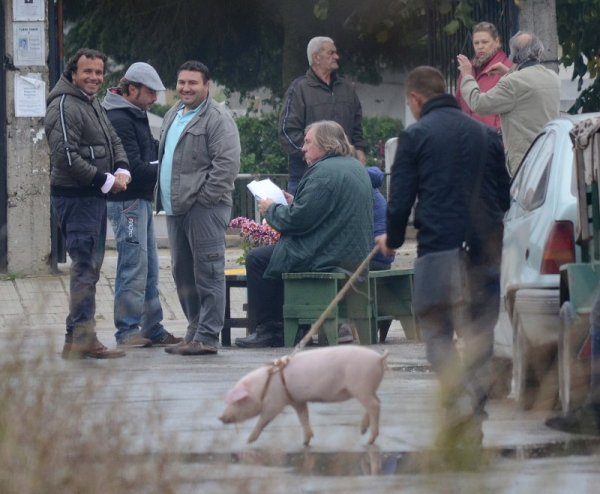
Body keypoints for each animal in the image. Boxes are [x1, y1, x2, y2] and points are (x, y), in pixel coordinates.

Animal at [218, 346, 386, 446]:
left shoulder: (275, 402)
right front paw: (306, 442)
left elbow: (264, 420)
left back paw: (369, 440)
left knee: (374, 405)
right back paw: (362, 431)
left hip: (361, 385)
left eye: (236, 402)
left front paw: (248, 441)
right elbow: (303, 417)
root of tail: (379, 358)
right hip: (367, 388)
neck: (264, 386)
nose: (221, 418)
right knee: (377, 402)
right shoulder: (296, 400)